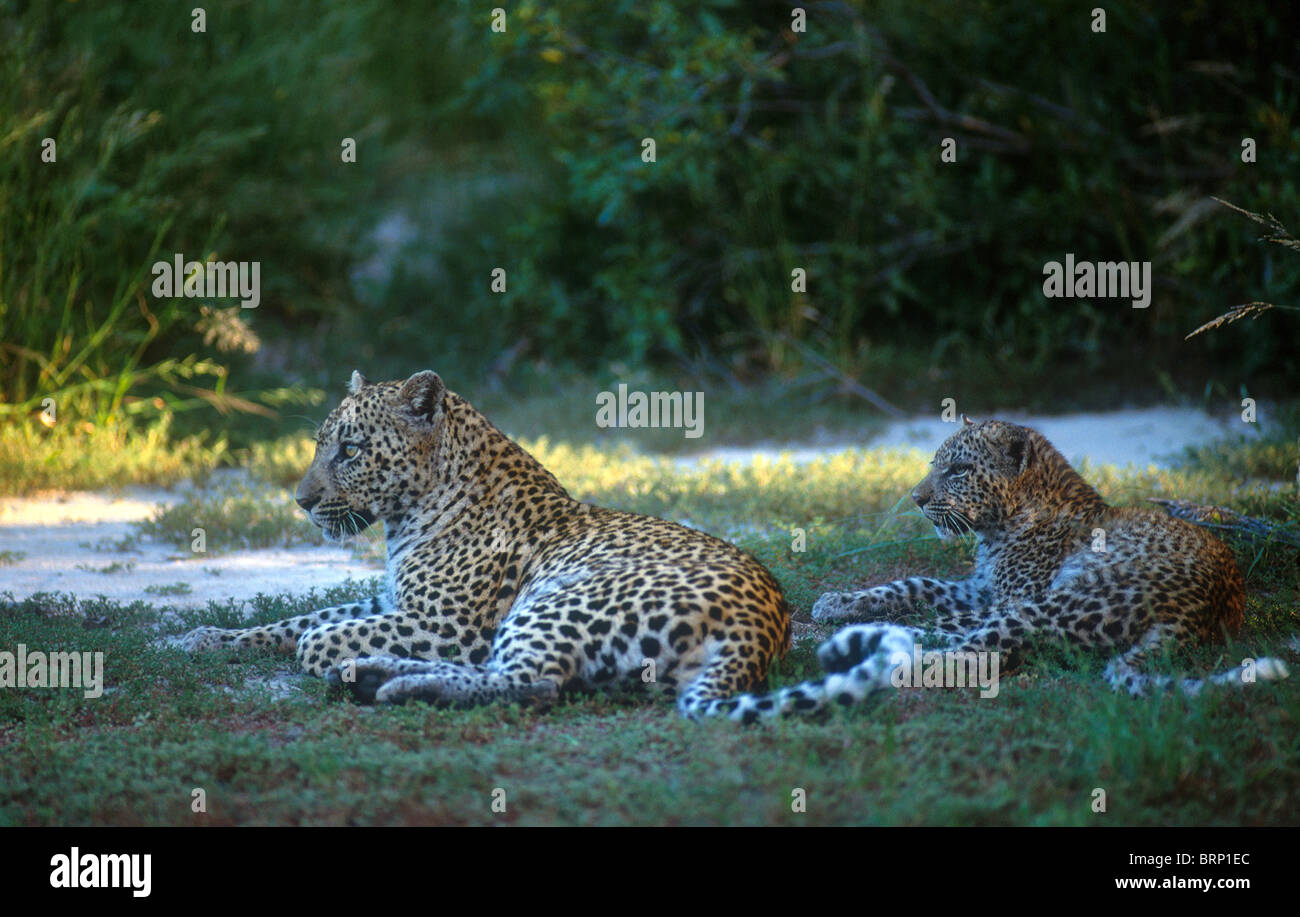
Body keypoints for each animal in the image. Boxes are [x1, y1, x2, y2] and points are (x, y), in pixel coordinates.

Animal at [180, 370, 792, 720]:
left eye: (350, 451)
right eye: (318, 446)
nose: (301, 501)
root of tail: (761, 629)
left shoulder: (451, 625)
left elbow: (318, 635)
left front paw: (329, 651)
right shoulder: (393, 602)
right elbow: (303, 619)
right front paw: (209, 638)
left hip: (558, 603)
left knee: (530, 682)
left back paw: (389, 684)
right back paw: (375, 674)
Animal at [702, 416, 1289, 723]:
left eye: (959, 470)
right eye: (933, 465)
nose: (916, 499)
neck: (999, 528)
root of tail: (1202, 611)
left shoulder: (1005, 598)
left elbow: (941, 614)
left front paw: (840, 617)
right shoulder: (978, 588)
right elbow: (916, 583)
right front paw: (841, 602)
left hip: (1055, 603)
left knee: (967, 653)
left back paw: (865, 652)